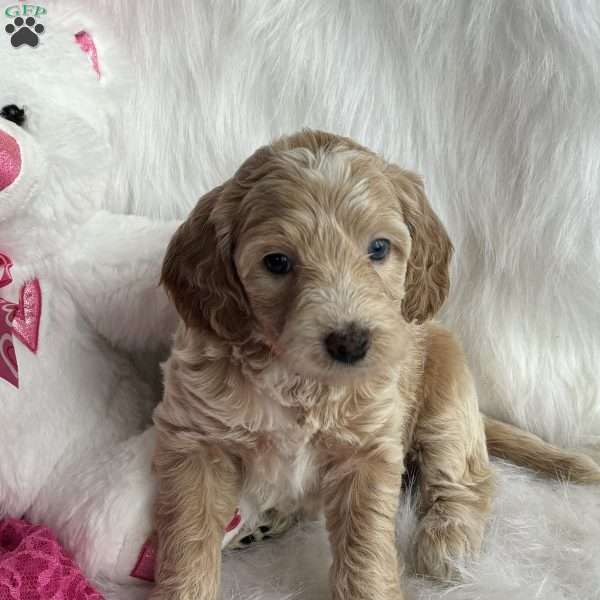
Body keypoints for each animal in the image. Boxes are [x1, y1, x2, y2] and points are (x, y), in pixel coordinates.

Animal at [150, 130, 600, 600]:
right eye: (276, 261)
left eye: (379, 248)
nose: (350, 342)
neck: (297, 380)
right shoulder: (195, 442)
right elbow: (188, 542)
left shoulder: (367, 450)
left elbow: (365, 549)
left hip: (447, 397)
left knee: (467, 476)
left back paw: (449, 542)